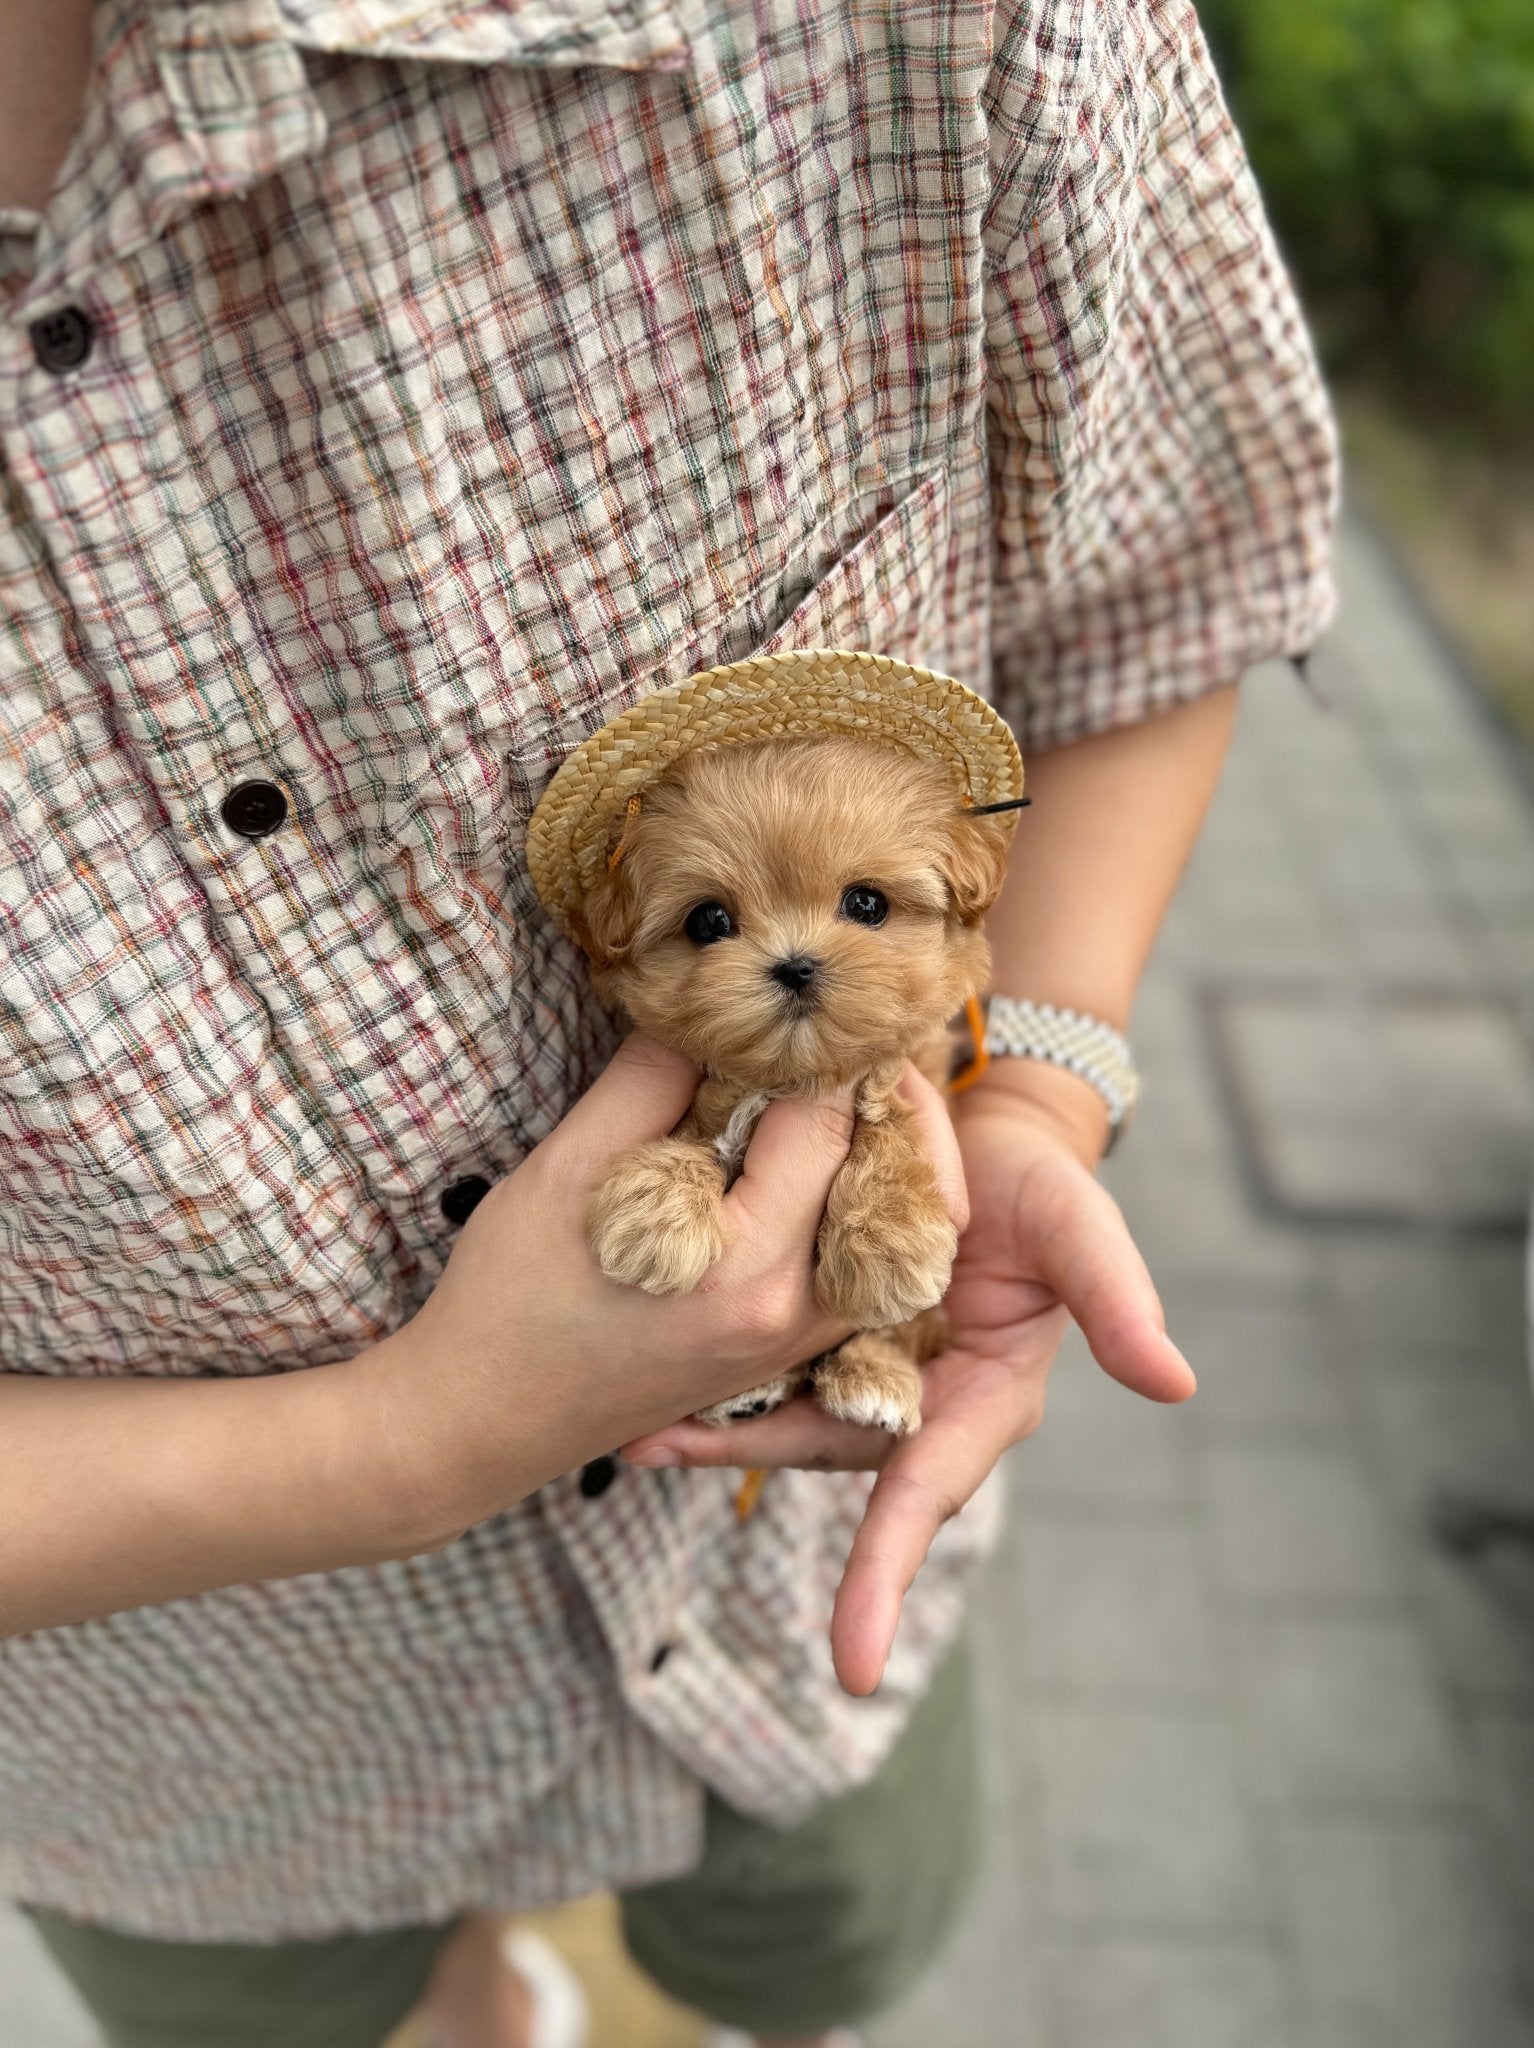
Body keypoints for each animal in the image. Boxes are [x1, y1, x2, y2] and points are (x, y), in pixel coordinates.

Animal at [569, 741, 1011, 1441]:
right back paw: (749, 1393)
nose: (796, 966)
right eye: (709, 920)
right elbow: (695, 1142)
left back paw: (874, 1382)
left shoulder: (902, 1078)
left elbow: (889, 1131)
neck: (794, 1075)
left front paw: (888, 1247)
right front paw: (654, 1214)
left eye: (866, 905)